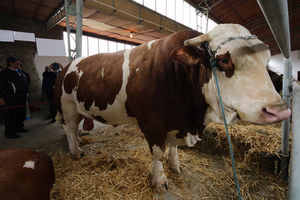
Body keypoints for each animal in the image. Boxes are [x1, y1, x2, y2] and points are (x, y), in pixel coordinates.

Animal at [54, 23, 290, 192]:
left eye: (266, 61)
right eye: (224, 60)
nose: (280, 110)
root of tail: (69, 64)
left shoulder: (177, 122)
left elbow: (174, 148)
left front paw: (175, 166)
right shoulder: (153, 124)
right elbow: (158, 153)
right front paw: (159, 180)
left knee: (74, 128)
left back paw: (79, 143)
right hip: (67, 106)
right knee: (69, 128)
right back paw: (76, 151)